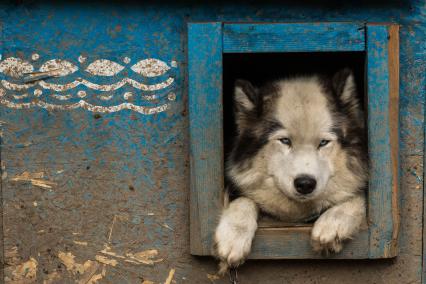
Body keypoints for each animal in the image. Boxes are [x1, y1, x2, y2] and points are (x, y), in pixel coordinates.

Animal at [215, 68, 368, 272]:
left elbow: (358, 196)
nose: (305, 184)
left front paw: (333, 221)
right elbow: (245, 199)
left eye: (323, 143)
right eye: (285, 141)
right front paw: (233, 236)